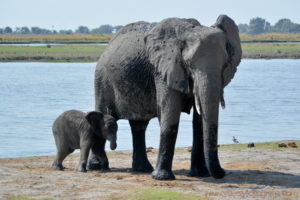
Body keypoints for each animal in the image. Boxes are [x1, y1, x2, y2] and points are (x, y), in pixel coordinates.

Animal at [88, 15, 241, 180]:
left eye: (225, 64)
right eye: (189, 64)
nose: (223, 172)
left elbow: (199, 122)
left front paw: (200, 174)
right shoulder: (163, 70)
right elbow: (170, 114)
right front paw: (162, 177)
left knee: (139, 125)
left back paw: (143, 169)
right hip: (102, 81)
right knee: (103, 116)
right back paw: (96, 167)